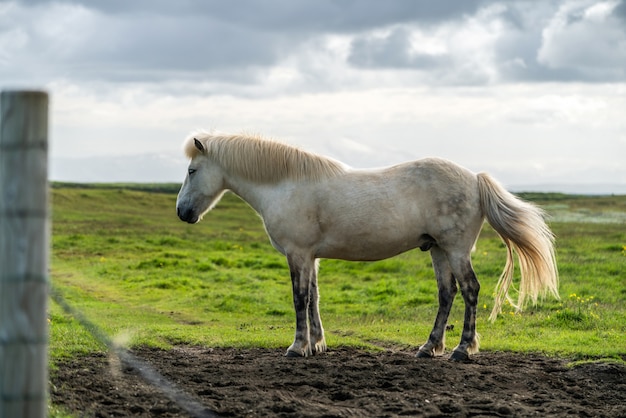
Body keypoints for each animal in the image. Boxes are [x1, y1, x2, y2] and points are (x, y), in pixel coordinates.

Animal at [174, 132, 556, 360]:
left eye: (192, 171)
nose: (182, 212)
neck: (286, 184)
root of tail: (475, 179)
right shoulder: (311, 257)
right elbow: (313, 297)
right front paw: (317, 343)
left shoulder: (298, 254)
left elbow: (299, 298)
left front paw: (298, 346)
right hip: (438, 250)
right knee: (447, 293)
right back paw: (429, 346)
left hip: (456, 249)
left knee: (470, 289)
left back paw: (462, 348)